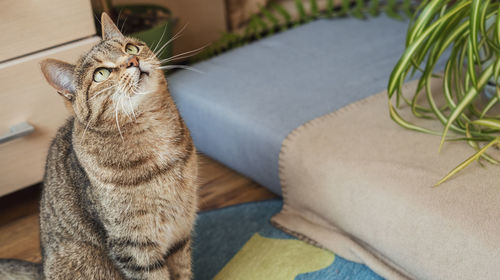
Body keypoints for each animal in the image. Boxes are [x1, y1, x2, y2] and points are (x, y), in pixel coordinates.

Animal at [0, 13, 199, 280]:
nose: (133, 60)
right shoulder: (134, 247)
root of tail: (41, 269)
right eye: (101, 74)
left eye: (131, 48)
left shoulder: (181, 231)